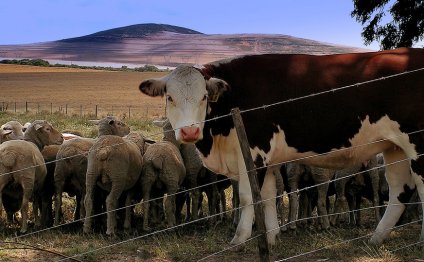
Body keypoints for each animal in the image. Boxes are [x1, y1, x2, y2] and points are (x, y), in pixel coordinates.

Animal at [139, 48, 424, 247]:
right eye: (169, 97)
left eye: (204, 97)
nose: (190, 131)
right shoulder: (267, 159)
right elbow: (267, 196)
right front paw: (273, 237)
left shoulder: (254, 153)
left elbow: (248, 197)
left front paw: (240, 239)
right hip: (394, 148)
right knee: (400, 192)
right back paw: (375, 239)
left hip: (417, 144)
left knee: (420, 188)